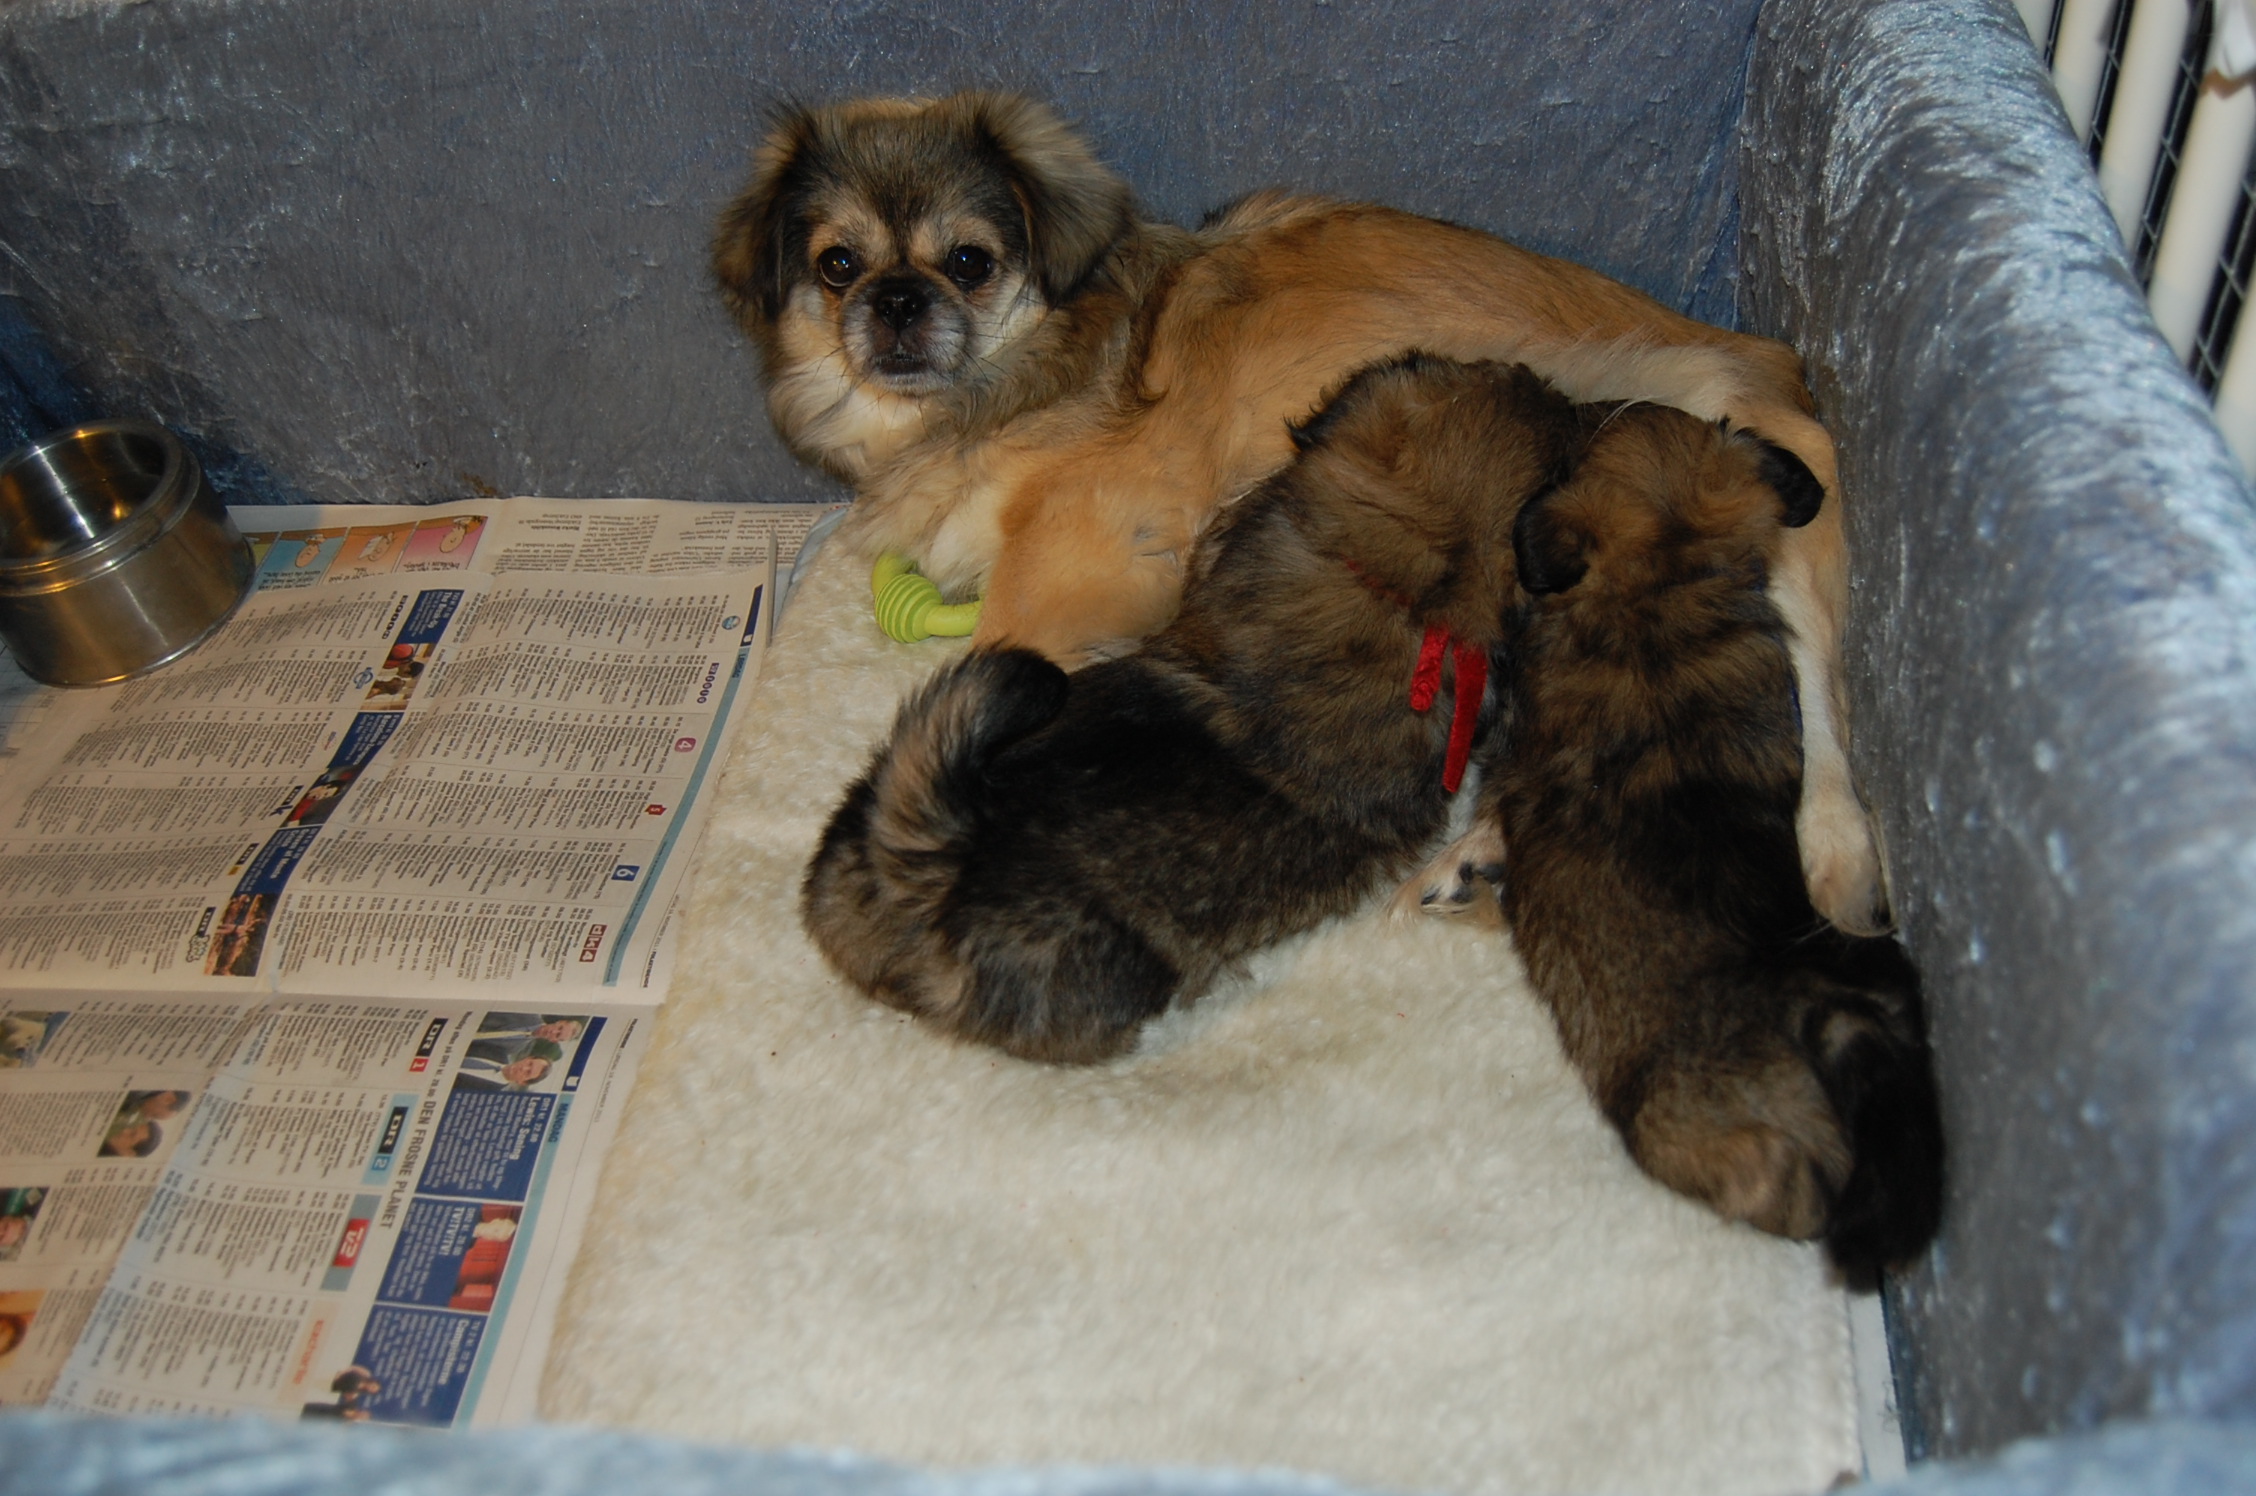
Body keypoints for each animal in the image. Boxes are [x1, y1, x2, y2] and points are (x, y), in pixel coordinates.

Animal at [711, 90, 1882, 936]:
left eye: (969, 262)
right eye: (837, 266)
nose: (896, 303)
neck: (1010, 380)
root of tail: (1775, 369)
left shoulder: (1091, 549)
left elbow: (997, 649)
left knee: (1816, 714)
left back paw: (1833, 856)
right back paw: (1478, 861)